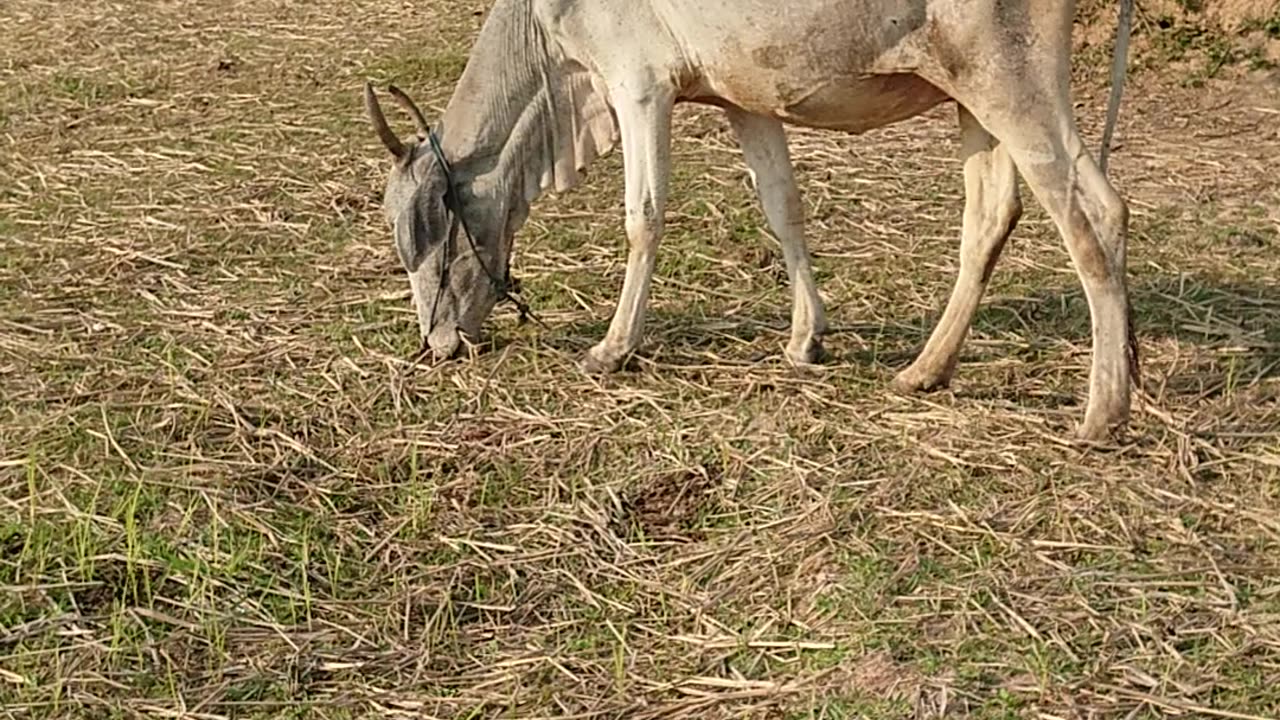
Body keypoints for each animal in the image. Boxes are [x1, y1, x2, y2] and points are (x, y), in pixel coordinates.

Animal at [360, 0, 1141, 440]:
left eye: (426, 237)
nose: (436, 343)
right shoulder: (743, 98)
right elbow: (782, 208)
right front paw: (804, 340)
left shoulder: (639, 85)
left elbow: (643, 217)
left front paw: (613, 348)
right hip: (970, 94)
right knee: (990, 214)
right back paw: (924, 370)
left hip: (1011, 80)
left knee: (1095, 211)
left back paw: (1102, 412)